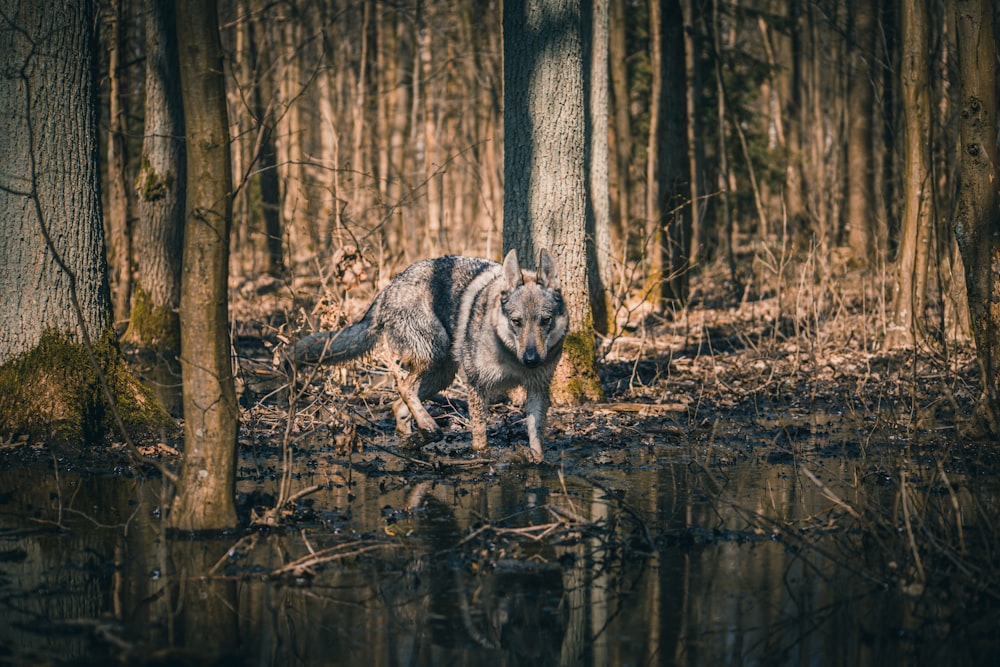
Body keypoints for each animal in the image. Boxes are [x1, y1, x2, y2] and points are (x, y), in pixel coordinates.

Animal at [292, 248, 568, 462]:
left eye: (545, 321)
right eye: (516, 322)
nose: (532, 359)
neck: (511, 355)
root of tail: (388, 288)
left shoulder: (537, 388)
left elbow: (536, 437)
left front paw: (537, 462)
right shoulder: (476, 385)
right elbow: (480, 437)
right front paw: (482, 459)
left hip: (441, 376)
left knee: (398, 405)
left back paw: (413, 440)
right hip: (433, 355)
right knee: (403, 388)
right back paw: (427, 428)